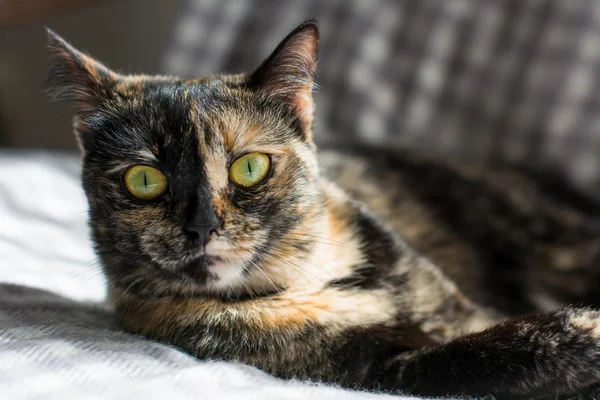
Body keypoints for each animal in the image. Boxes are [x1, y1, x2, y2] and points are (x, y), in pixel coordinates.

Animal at [45, 21, 600, 400]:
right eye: (144, 180)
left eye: (249, 167)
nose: (201, 225)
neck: (313, 281)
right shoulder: (377, 369)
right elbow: (474, 356)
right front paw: (583, 334)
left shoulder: (455, 310)